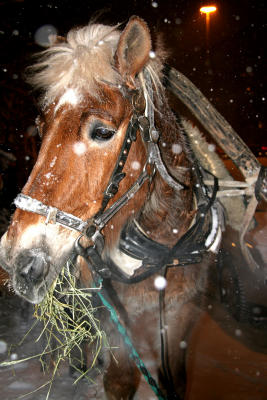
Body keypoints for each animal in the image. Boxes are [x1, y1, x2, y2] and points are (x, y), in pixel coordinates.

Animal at [0, 16, 230, 400]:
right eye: (43, 126)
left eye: (103, 132)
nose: (16, 256)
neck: (164, 249)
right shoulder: (120, 328)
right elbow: (120, 380)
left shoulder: (181, 319)